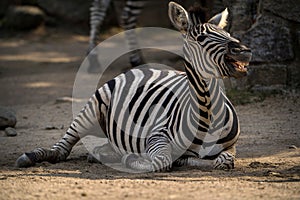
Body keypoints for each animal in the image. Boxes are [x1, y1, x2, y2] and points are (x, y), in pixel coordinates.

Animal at [15, 1, 251, 172]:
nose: (245, 51)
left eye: (228, 34)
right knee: (62, 148)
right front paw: (134, 159)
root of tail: (147, 68)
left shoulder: (230, 147)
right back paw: (31, 156)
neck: (208, 113)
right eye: (201, 38)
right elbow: (162, 161)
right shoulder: (157, 136)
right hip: (92, 108)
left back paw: (102, 153)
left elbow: (223, 161)